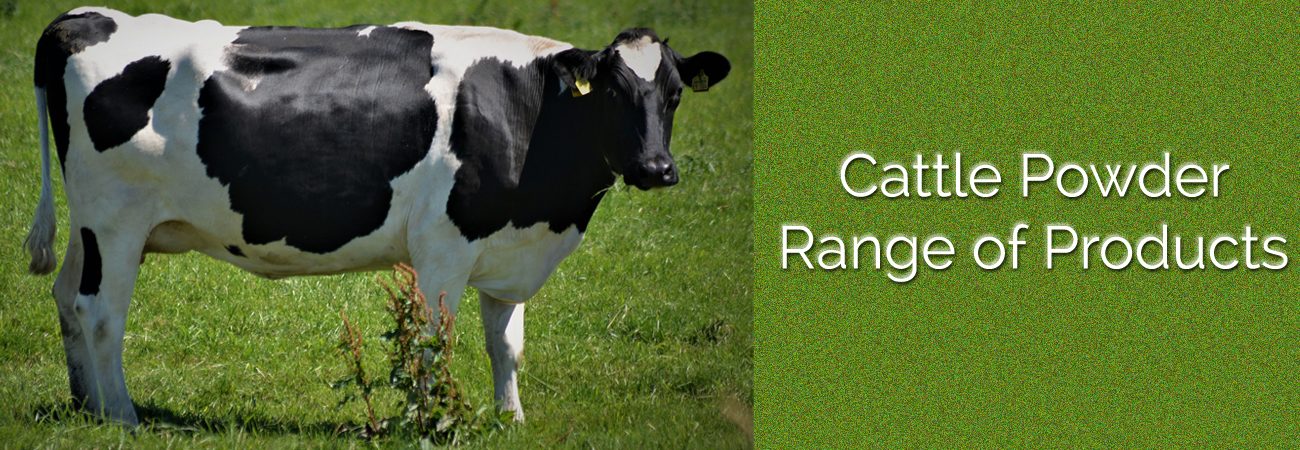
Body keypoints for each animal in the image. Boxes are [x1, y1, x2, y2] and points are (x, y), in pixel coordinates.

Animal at [24, 7, 730, 425]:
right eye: (612, 91)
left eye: (673, 95)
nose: (657, 168)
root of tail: (84, 17)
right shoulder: (443, 245)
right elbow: (434, 342)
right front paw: (435, 420)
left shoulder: (507, 245)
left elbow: (507, 345)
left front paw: (511, 422)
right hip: (113, 221)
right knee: (100, 309)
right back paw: (121, 416)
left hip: (94, 228)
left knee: (65, 295)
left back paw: (86, 405)